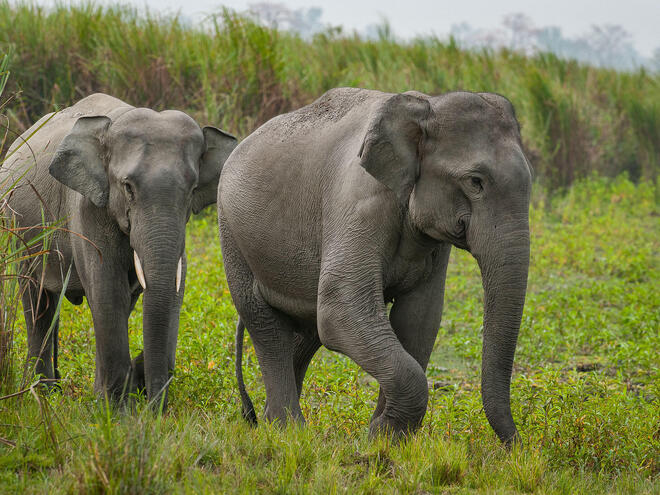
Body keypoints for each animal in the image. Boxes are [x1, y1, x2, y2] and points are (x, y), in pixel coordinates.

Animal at [0, 94, 237, 410]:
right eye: (127, 187)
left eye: (192, 189)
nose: (153, 407)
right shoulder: (87, 208)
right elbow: (107, 290)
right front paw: (115, 409)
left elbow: (156, 289)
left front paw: (112, 398)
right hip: (20, 231)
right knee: (37, 302)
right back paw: (44, 393)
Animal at [219, 87, 532, 444]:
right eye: (475, 181)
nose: (518, 446)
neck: (427, 106)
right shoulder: (359, 203)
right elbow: (341, 308)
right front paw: (381, 434)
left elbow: (419, 319)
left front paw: (385, 438)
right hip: (231, 232)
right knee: (265, 323)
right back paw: (288, 430)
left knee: (307, 330)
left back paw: (276, 421)